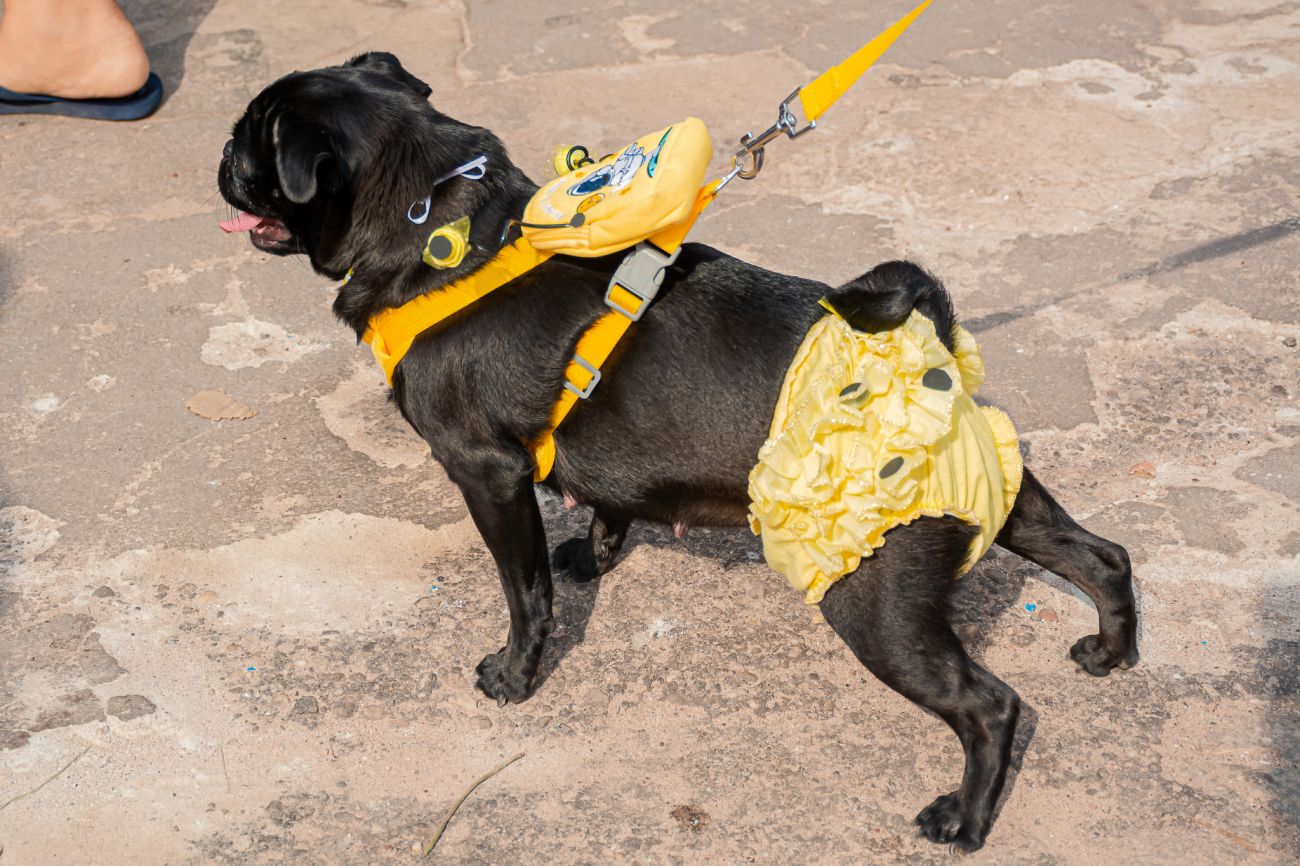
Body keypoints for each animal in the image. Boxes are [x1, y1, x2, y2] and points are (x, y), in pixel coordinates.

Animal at [217, 52, 1139, 851]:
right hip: (1006, 505)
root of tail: (927, 348)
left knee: (991, 706)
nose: (219, 157)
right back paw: (1112, 653)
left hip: (874, 601)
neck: (439, 227)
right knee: (1101, 557)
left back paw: (965, 820)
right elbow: (607, 507)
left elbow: (525, 592)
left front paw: (515, 674)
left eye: (248, 145)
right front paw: (594, 556)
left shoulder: (487, 472)